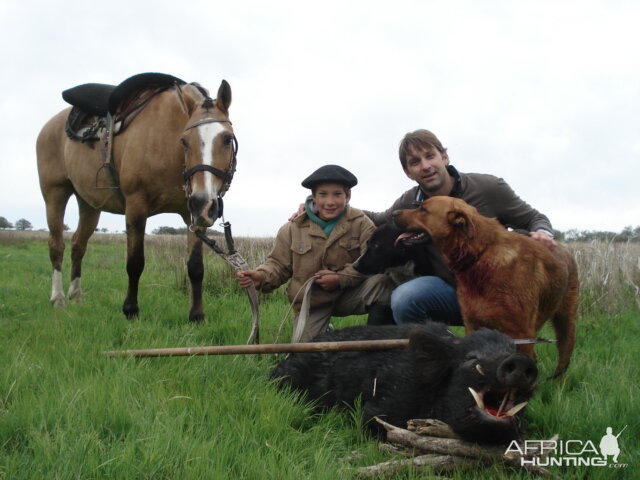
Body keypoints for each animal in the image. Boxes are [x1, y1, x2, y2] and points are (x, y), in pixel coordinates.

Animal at [35, 73, 235, 320]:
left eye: (227, 139)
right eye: (184, 141)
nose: (203, 203)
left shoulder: (193, 215)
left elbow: (196, 267)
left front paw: (196, 315)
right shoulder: (136, 207)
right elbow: (135, 263)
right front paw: (130, 310)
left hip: (89, 205)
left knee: (78, 245)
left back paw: (76, 296)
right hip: (55, 194)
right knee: (57, 245)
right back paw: (59, 298)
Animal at [392, 197, 576, 376]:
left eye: (423, 209)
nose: (393, 213)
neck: (481, 254)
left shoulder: (521, 333)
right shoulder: (473, 324)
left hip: (565, 324)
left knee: (562, 364)